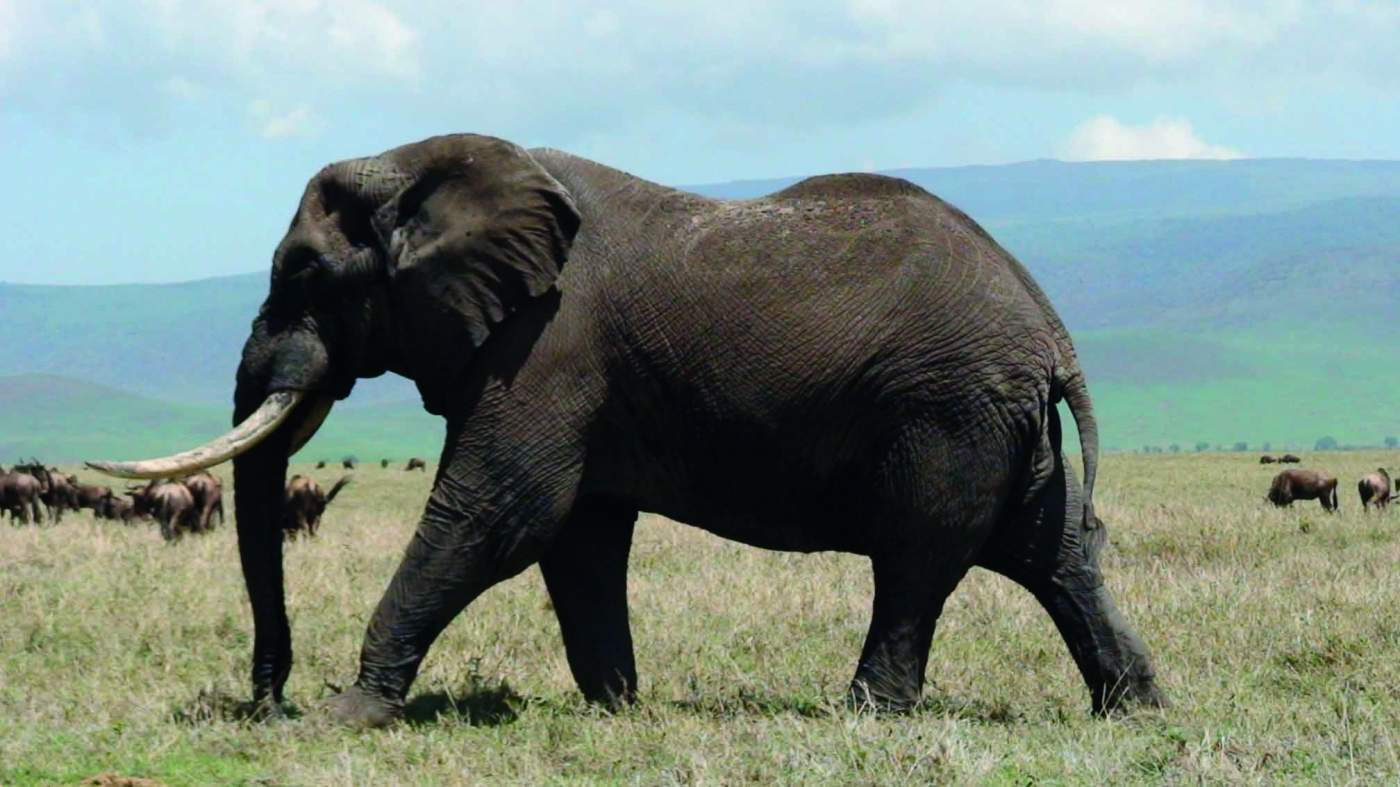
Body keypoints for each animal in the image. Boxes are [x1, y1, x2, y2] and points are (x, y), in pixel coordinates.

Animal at [84, 131, 1159, 728]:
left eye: (305, 271)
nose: (268, 706)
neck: (432, 165)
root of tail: (1049, 325)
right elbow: (579, 538)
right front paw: (617, 709)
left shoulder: (547, 344)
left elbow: (497, 514)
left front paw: (348, 721)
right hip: (997, 418)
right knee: (1052, 550)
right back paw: (1136, 707)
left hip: (946, 409)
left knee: (917, 561)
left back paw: (865, 717)